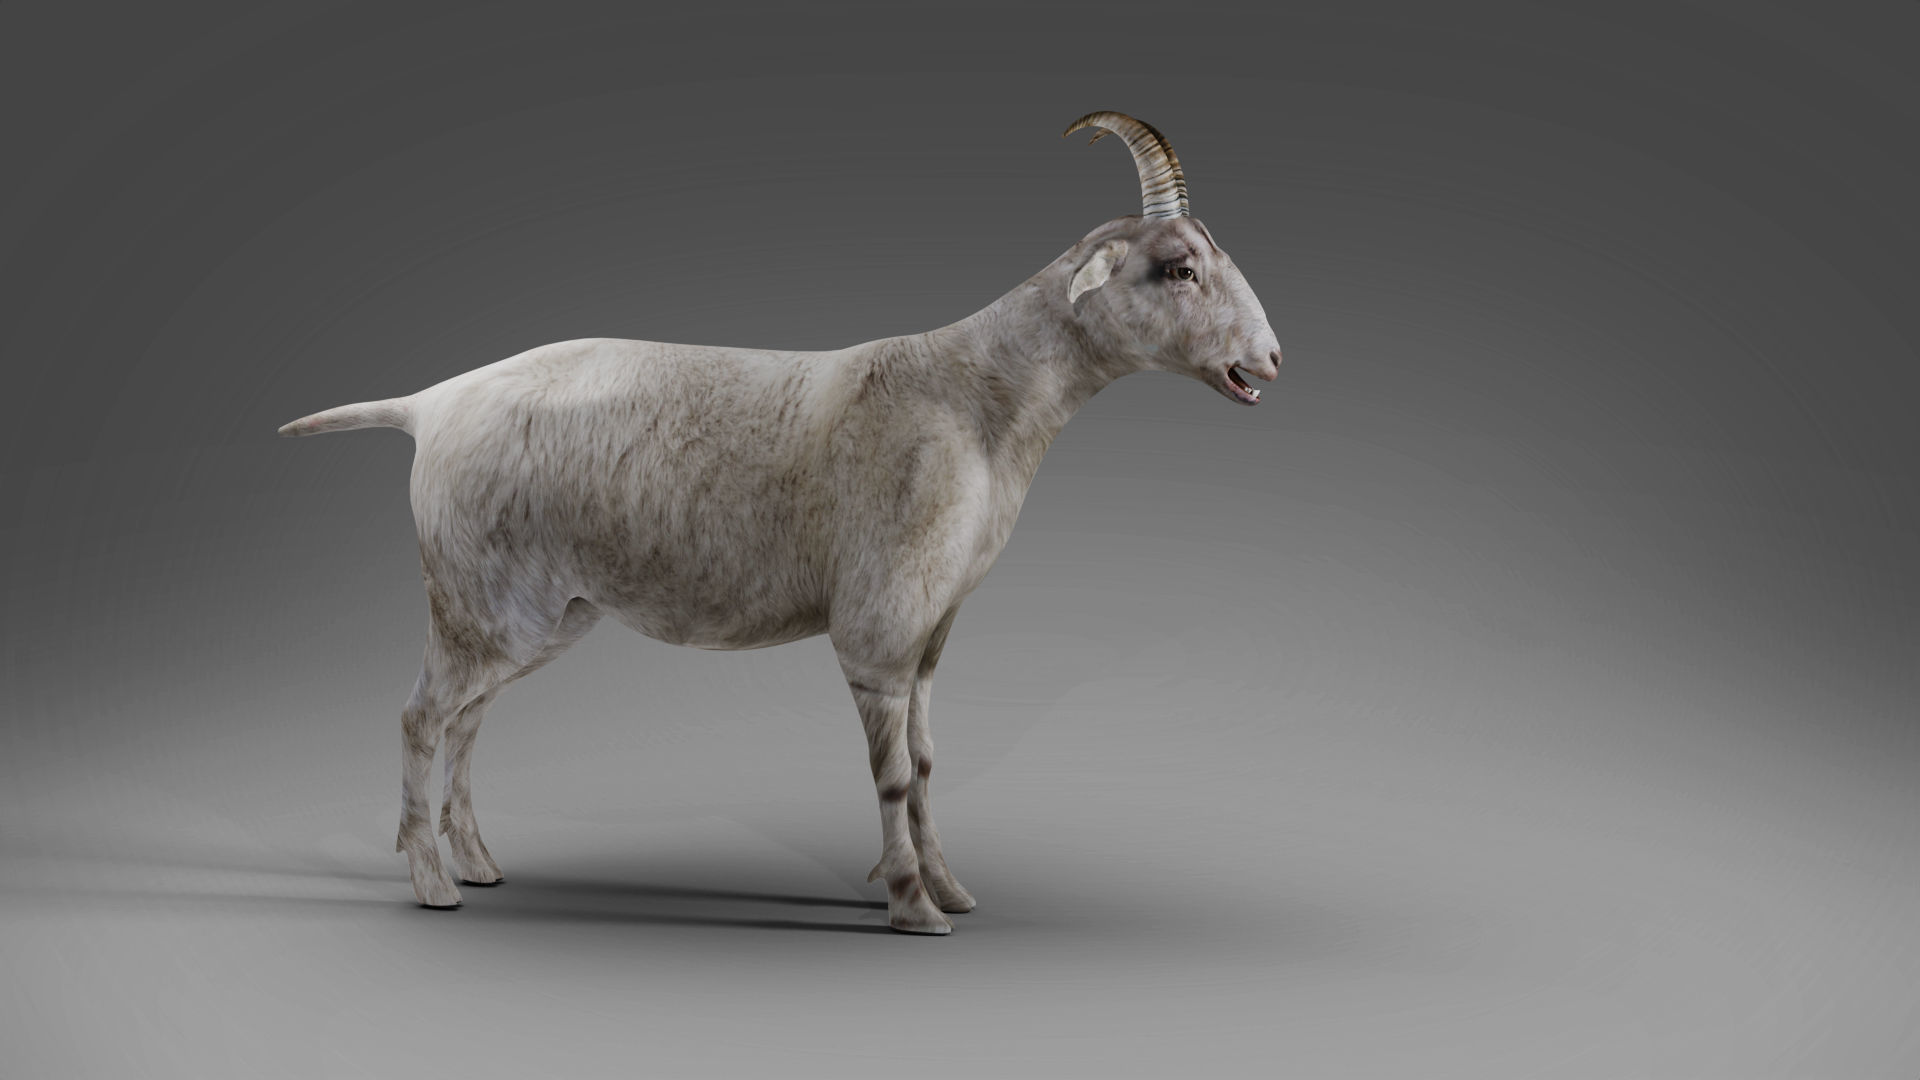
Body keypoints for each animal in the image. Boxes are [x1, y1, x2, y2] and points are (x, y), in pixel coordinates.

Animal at [280, 112, 1283, 934]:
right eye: (1179, 267)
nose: (1269, 359)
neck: (976, 396)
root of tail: (430, 402)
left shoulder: (931, 633)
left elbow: (925, 764)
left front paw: (949, 888)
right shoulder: (878, 627)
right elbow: (891, 772)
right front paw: (914, 908)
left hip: (538, 615)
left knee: (467, 720)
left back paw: (479, 864)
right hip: (477, 600)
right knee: (421, 717)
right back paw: (432, 884)